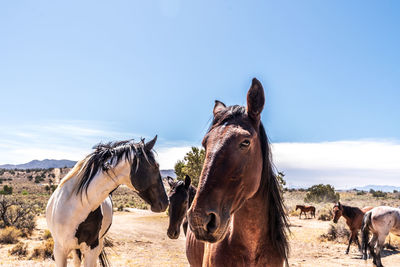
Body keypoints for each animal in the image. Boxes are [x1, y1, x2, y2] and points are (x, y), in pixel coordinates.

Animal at [46, 138, 168, 267]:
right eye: (156, 166)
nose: (166, 202)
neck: (74, 207)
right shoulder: (59, 250)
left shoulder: (92, 248)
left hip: (98, 244)